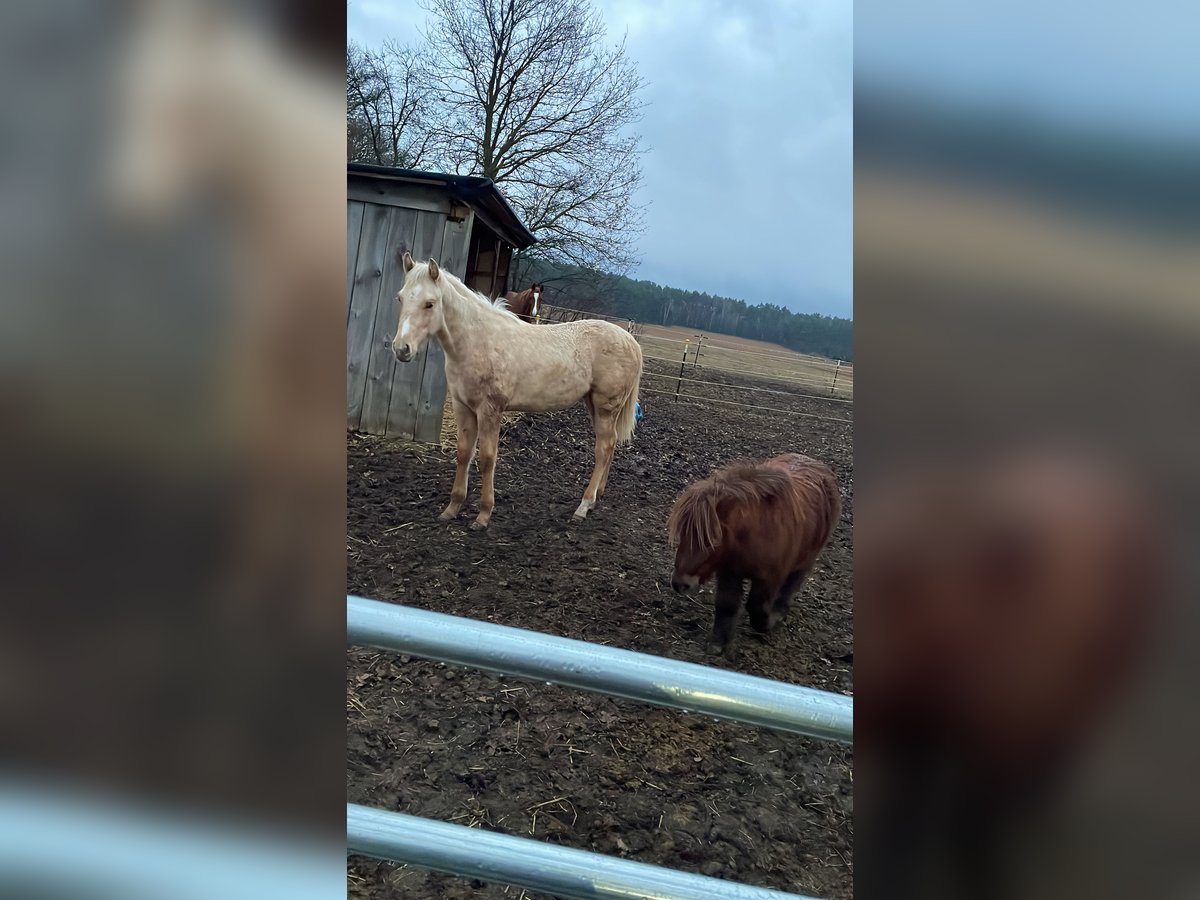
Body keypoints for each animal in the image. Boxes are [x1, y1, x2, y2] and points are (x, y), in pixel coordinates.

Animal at [393, 255, 643, 528]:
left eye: (430, 304)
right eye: (400, 298)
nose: (401, 349)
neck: (477, 340)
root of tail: (630, 340)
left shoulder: (490, 410)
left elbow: (487, 458)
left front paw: (483, 515)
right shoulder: (463, 407)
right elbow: (463, 454)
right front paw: (452, 508)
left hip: (606, 406)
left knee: (604, 448)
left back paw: (584, 505)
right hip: (594, 404)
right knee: (610, 444)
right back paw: (597, 496)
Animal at [667, 453, 844, 652]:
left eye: (711, 541)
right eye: (682, 534)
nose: (679, 584)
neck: (754, 533)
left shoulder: (770, 579)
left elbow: (756, 606)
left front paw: (768, 622)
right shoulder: (729, 573)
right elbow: (726, 605)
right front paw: (717, 643)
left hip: (805, 561)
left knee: (790, 586)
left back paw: (779, 613)